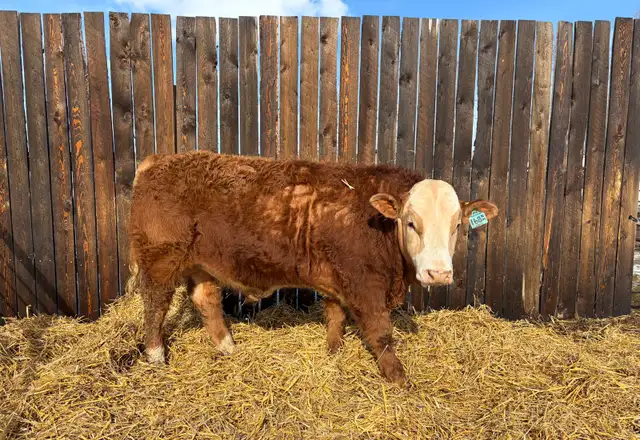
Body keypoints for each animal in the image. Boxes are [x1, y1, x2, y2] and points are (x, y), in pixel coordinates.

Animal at [127, 151, 498, 384]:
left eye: (457, 225)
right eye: (411, 223)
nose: (438, 273)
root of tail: (156, 162)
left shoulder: (337, 277)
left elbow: (335, 316)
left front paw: (333, 353)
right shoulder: (364, 284)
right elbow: (381, 332)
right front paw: (398, 378)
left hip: (202, 263)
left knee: (206, 299)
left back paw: (227, 347)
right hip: (160, 260)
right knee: (156, 304)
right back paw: (156, 356)